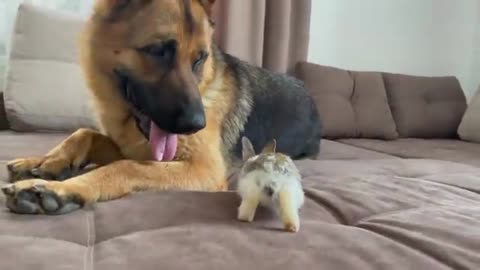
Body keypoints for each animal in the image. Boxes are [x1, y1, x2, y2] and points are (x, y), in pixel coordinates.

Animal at [1, 0, 322, 215]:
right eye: (157, 51)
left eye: (200, 59)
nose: (197, 124)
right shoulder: (132, 146)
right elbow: (85, 133)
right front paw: (46, 161)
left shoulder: (204, 169)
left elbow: (125, 166)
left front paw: (64, 189)